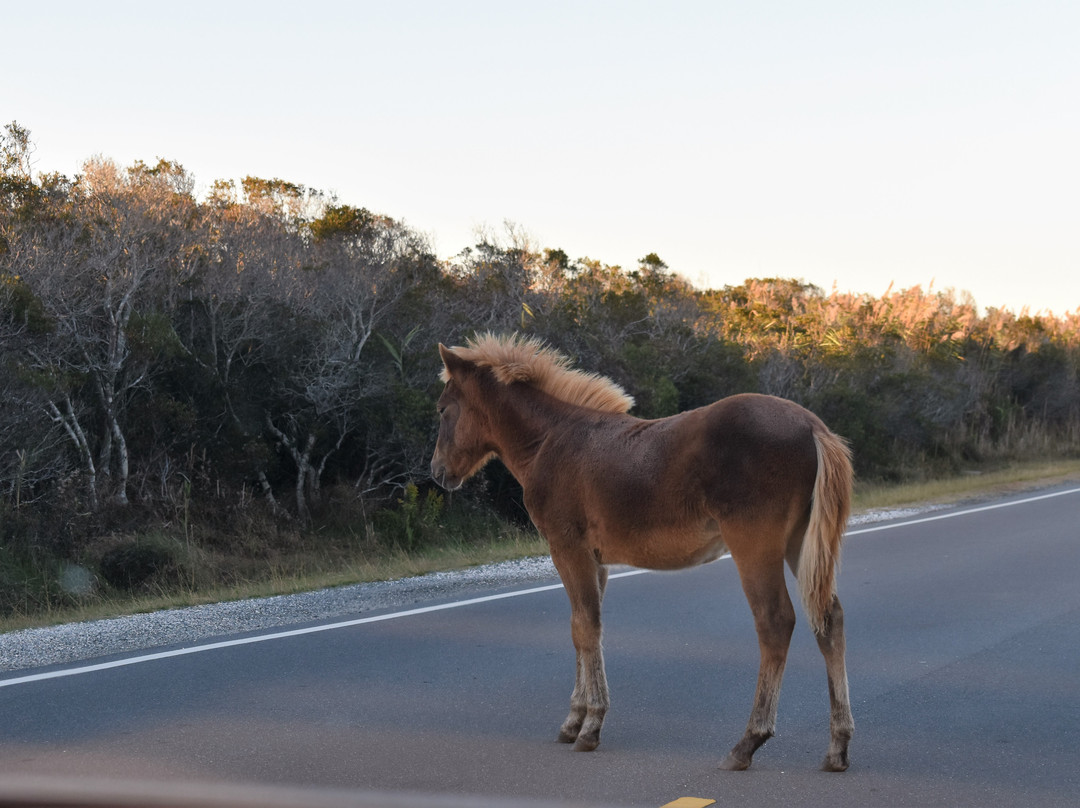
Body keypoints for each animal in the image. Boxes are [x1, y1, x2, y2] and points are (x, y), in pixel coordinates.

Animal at [427, 332, 851, 769]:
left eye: (443, 409)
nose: (438, 471)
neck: (549, 442)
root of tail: (813, 427)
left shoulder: (567, 547)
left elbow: (585, 626)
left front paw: (590, 726)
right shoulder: (596, 560)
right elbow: (583, 628)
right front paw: (573, 720)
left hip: (754, 545)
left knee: (775, 622)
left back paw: (747, 743)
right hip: (799, 543)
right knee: (829, 619)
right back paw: (837, 746)